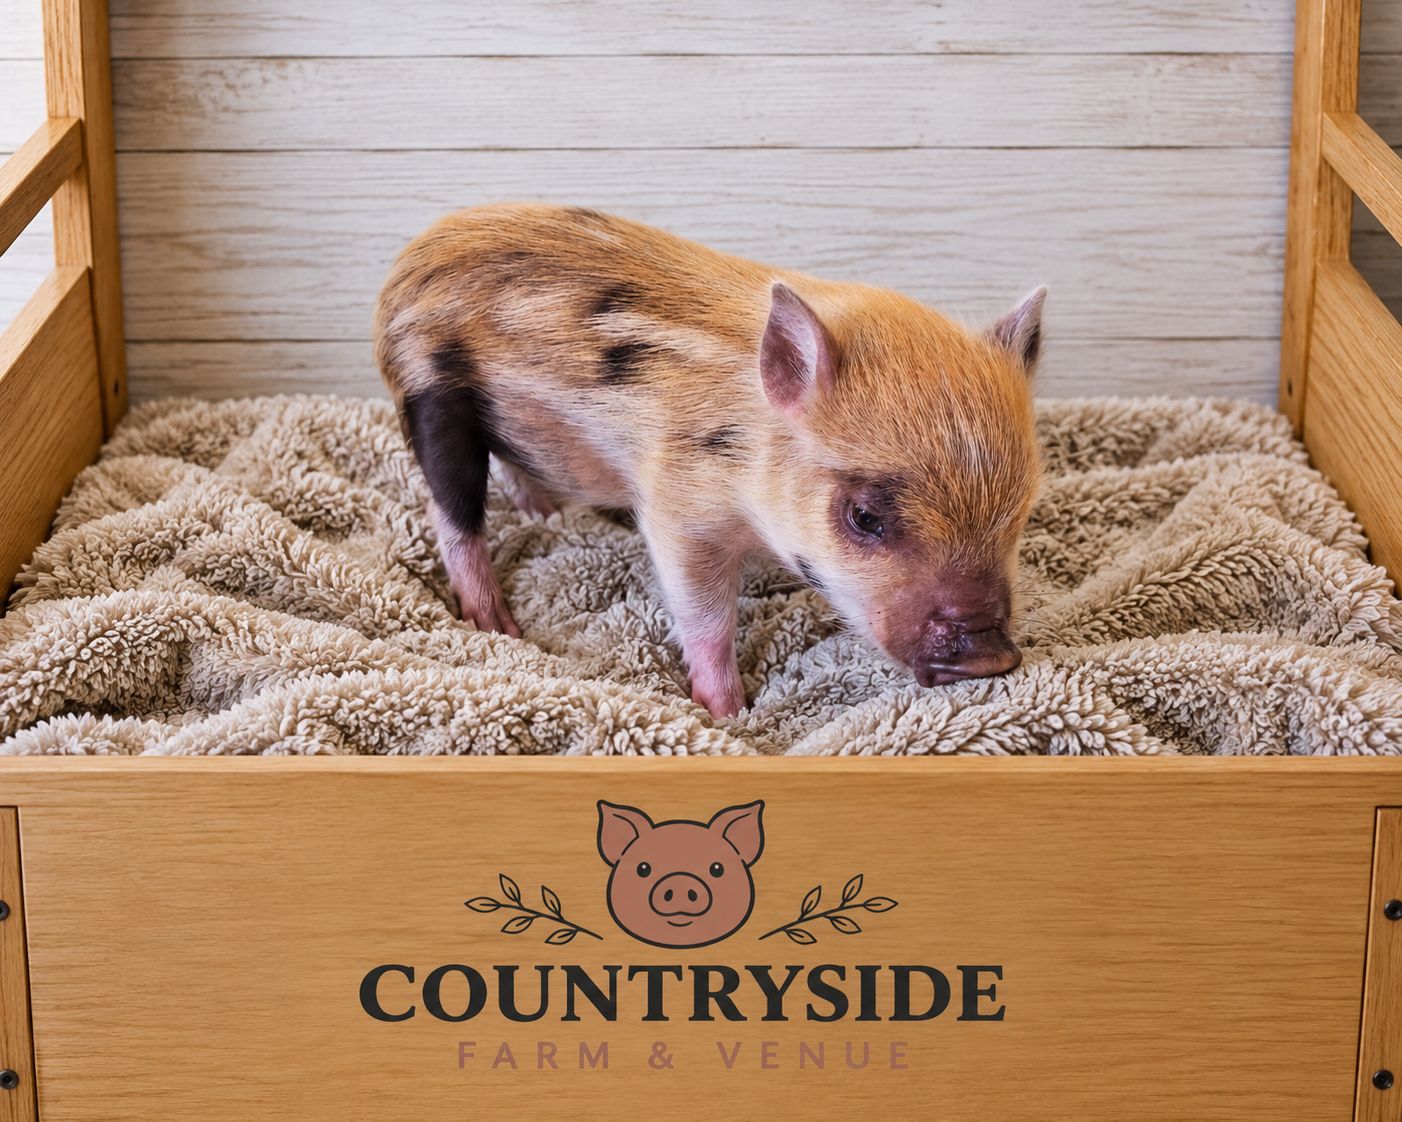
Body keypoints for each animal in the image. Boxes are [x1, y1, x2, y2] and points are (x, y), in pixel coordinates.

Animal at [375, 204, 1044, 718]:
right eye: (864, 518)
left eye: (1024, 511)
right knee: (450, 511)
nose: (989, 657)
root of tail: (407, 264)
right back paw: (497, 625)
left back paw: (544, 516)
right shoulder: (679, 506)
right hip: (432, 396)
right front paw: (730, 713)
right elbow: (705, 616)